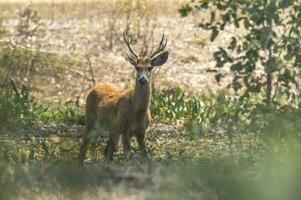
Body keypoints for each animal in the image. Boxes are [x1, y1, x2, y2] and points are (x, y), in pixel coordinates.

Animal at [78, 32, 168, 161]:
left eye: (150, 67)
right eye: (137, 67)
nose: (143, 79)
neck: (138, 112)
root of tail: (94, 87)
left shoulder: (141, 132)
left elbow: (145, 155)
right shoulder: (125, 129)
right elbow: (127, 155)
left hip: (111, 130)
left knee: (106, 151)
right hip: (90, 119)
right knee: (84, 146)